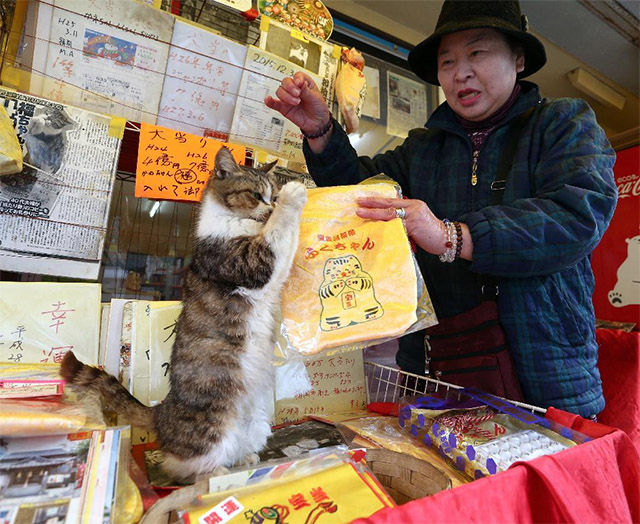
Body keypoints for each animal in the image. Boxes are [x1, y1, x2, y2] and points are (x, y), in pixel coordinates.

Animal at [60, 146, 307, 482]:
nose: (270, 207)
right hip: (212, 425)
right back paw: (215, 473)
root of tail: (161, 410)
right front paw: (296, 194)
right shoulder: (252, 262)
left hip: (256, 422)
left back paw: (244, 460)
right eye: (257, 195)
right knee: (183, 465)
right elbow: (278, 232)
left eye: (273, 195)